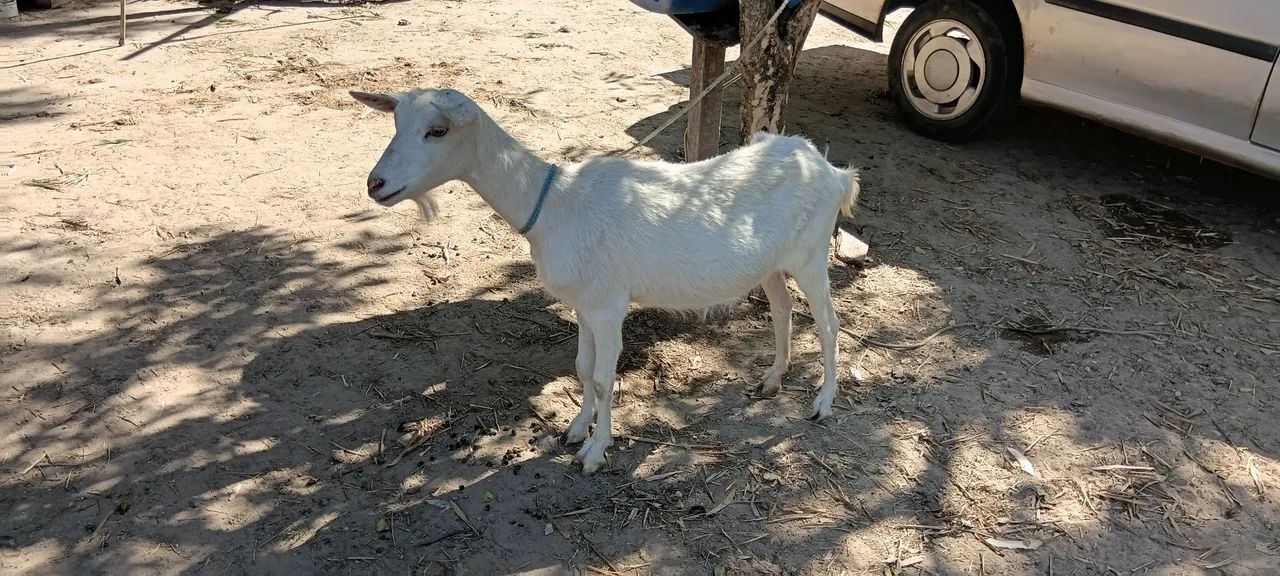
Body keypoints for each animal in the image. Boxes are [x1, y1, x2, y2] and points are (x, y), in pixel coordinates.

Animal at [350, 88, 860, 474]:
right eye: (395, 123)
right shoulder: (583, 304)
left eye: (437, 130)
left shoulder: (609, 304)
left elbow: (601, 376)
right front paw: (577, 429)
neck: (553, 205)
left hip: (812, 253)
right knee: (782, 310)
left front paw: (595, 451)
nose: (375, 184)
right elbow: (581, 368)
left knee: (829, 324)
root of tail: (834, 172)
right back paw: (772, 379)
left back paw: (823, 403)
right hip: (773, 263)